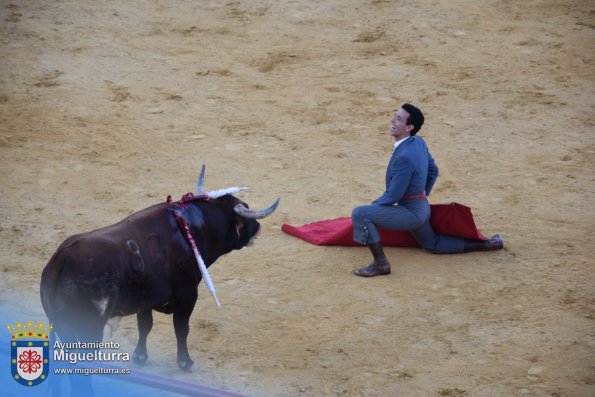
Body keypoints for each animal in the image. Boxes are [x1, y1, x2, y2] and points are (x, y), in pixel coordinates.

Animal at [40, 166, 280, 370]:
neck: (190, 228)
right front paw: (186, 362)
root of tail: (61, 259)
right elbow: (181, 328)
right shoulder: (187, 295)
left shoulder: (145, 297)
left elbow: (145, 325)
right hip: (87, 330)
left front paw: (140, 356)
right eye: (245, 213)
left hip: (63, 328)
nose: (258, 226)